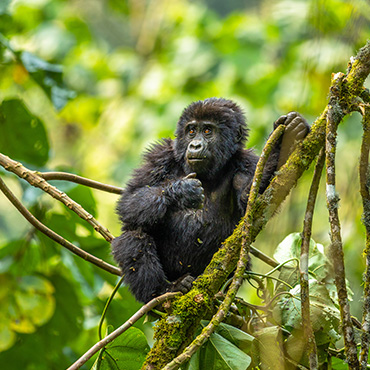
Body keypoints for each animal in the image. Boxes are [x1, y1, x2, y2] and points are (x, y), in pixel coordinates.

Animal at [112, 98, 310, 304]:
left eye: (207, 131)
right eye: (191, 130)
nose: (195, 146)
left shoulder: (246, 162)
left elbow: (254, 201)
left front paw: (282, 142)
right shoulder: (160, 156)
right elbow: (130, 201)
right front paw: (182, 191)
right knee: (134, 234)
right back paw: (164, 290)